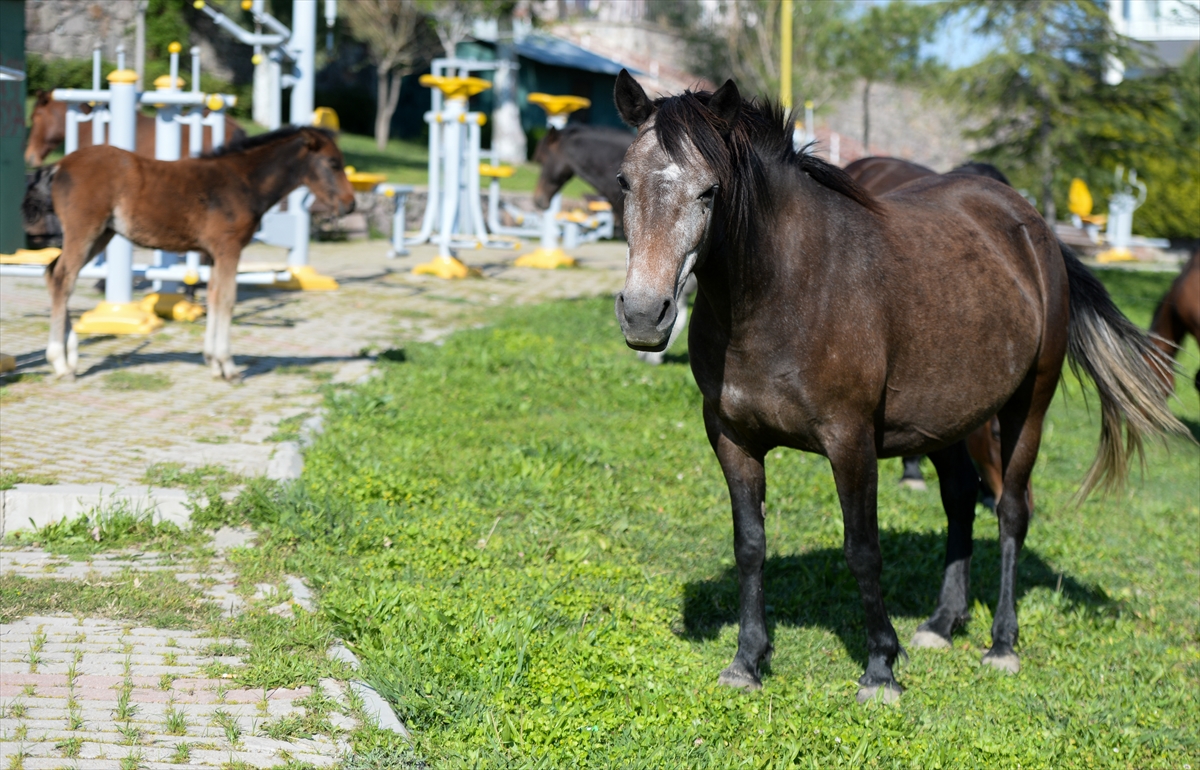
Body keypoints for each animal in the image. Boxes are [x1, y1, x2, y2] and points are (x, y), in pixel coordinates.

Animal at [29, 125, 350, 383]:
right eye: (333, 163)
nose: (350, 205)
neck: (243, 182)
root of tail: (59, 165)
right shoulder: (229, 248)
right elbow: (227, 299)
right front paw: (228, 367)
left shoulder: (216, 253)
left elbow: (214, 297)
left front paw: (214, 362)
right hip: (84, 231)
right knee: (63, 278)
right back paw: (60, 363)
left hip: (101, 235)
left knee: (53, 273)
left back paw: (71, 358)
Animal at [609, 71, 1180, 700]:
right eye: (624, 181)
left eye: (710, 191)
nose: (644, 315)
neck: (786, 290)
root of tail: (1035, 229)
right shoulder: (732, 439)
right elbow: (750, 544)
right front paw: (747, 660)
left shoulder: (851, 441)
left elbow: (863, 549)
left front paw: (881, 667)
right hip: (951, 422)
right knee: (961, 499)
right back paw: (942, 622)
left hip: (1026, 407)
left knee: (1011, 510)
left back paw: (1001, 643)